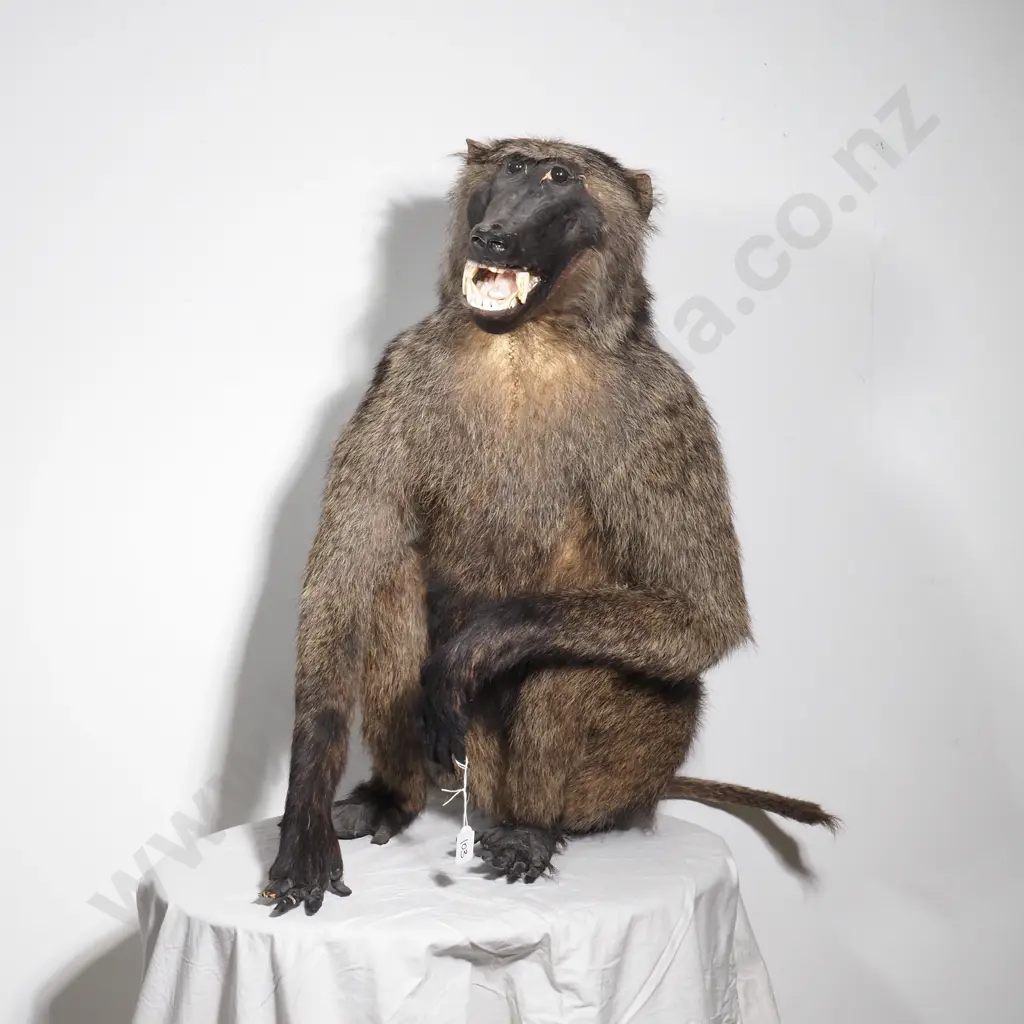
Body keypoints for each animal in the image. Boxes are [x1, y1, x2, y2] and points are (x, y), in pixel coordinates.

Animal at [259, 137, 839, 916]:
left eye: (559, 178)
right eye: (510, 167)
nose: (494, 235)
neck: (525, 342)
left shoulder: (668, 408)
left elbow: (705, 614)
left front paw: (466, 655)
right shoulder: (401, 371)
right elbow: (344, 581)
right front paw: (306, 817)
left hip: (615, 767)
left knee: (568, 654)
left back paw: (532, 828)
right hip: (465, 763)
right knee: (390, 584)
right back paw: (393, 796)